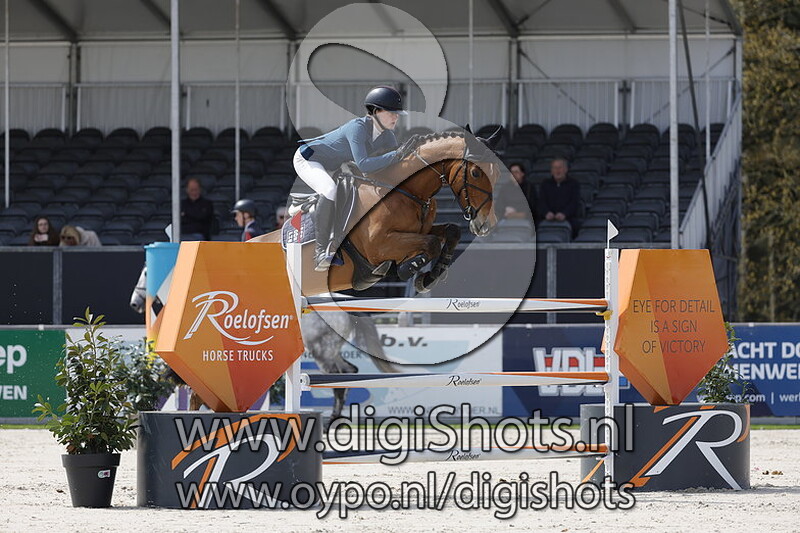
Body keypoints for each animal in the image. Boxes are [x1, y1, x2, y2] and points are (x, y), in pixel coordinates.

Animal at [249, 128, 501, 296]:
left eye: (497, 174)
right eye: (476, 173)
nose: (486, 224)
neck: (406, 191)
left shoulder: (422, 229)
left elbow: (451, 231)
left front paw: (431, 276)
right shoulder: (378, 246)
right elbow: (429, 244)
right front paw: (409, 268)